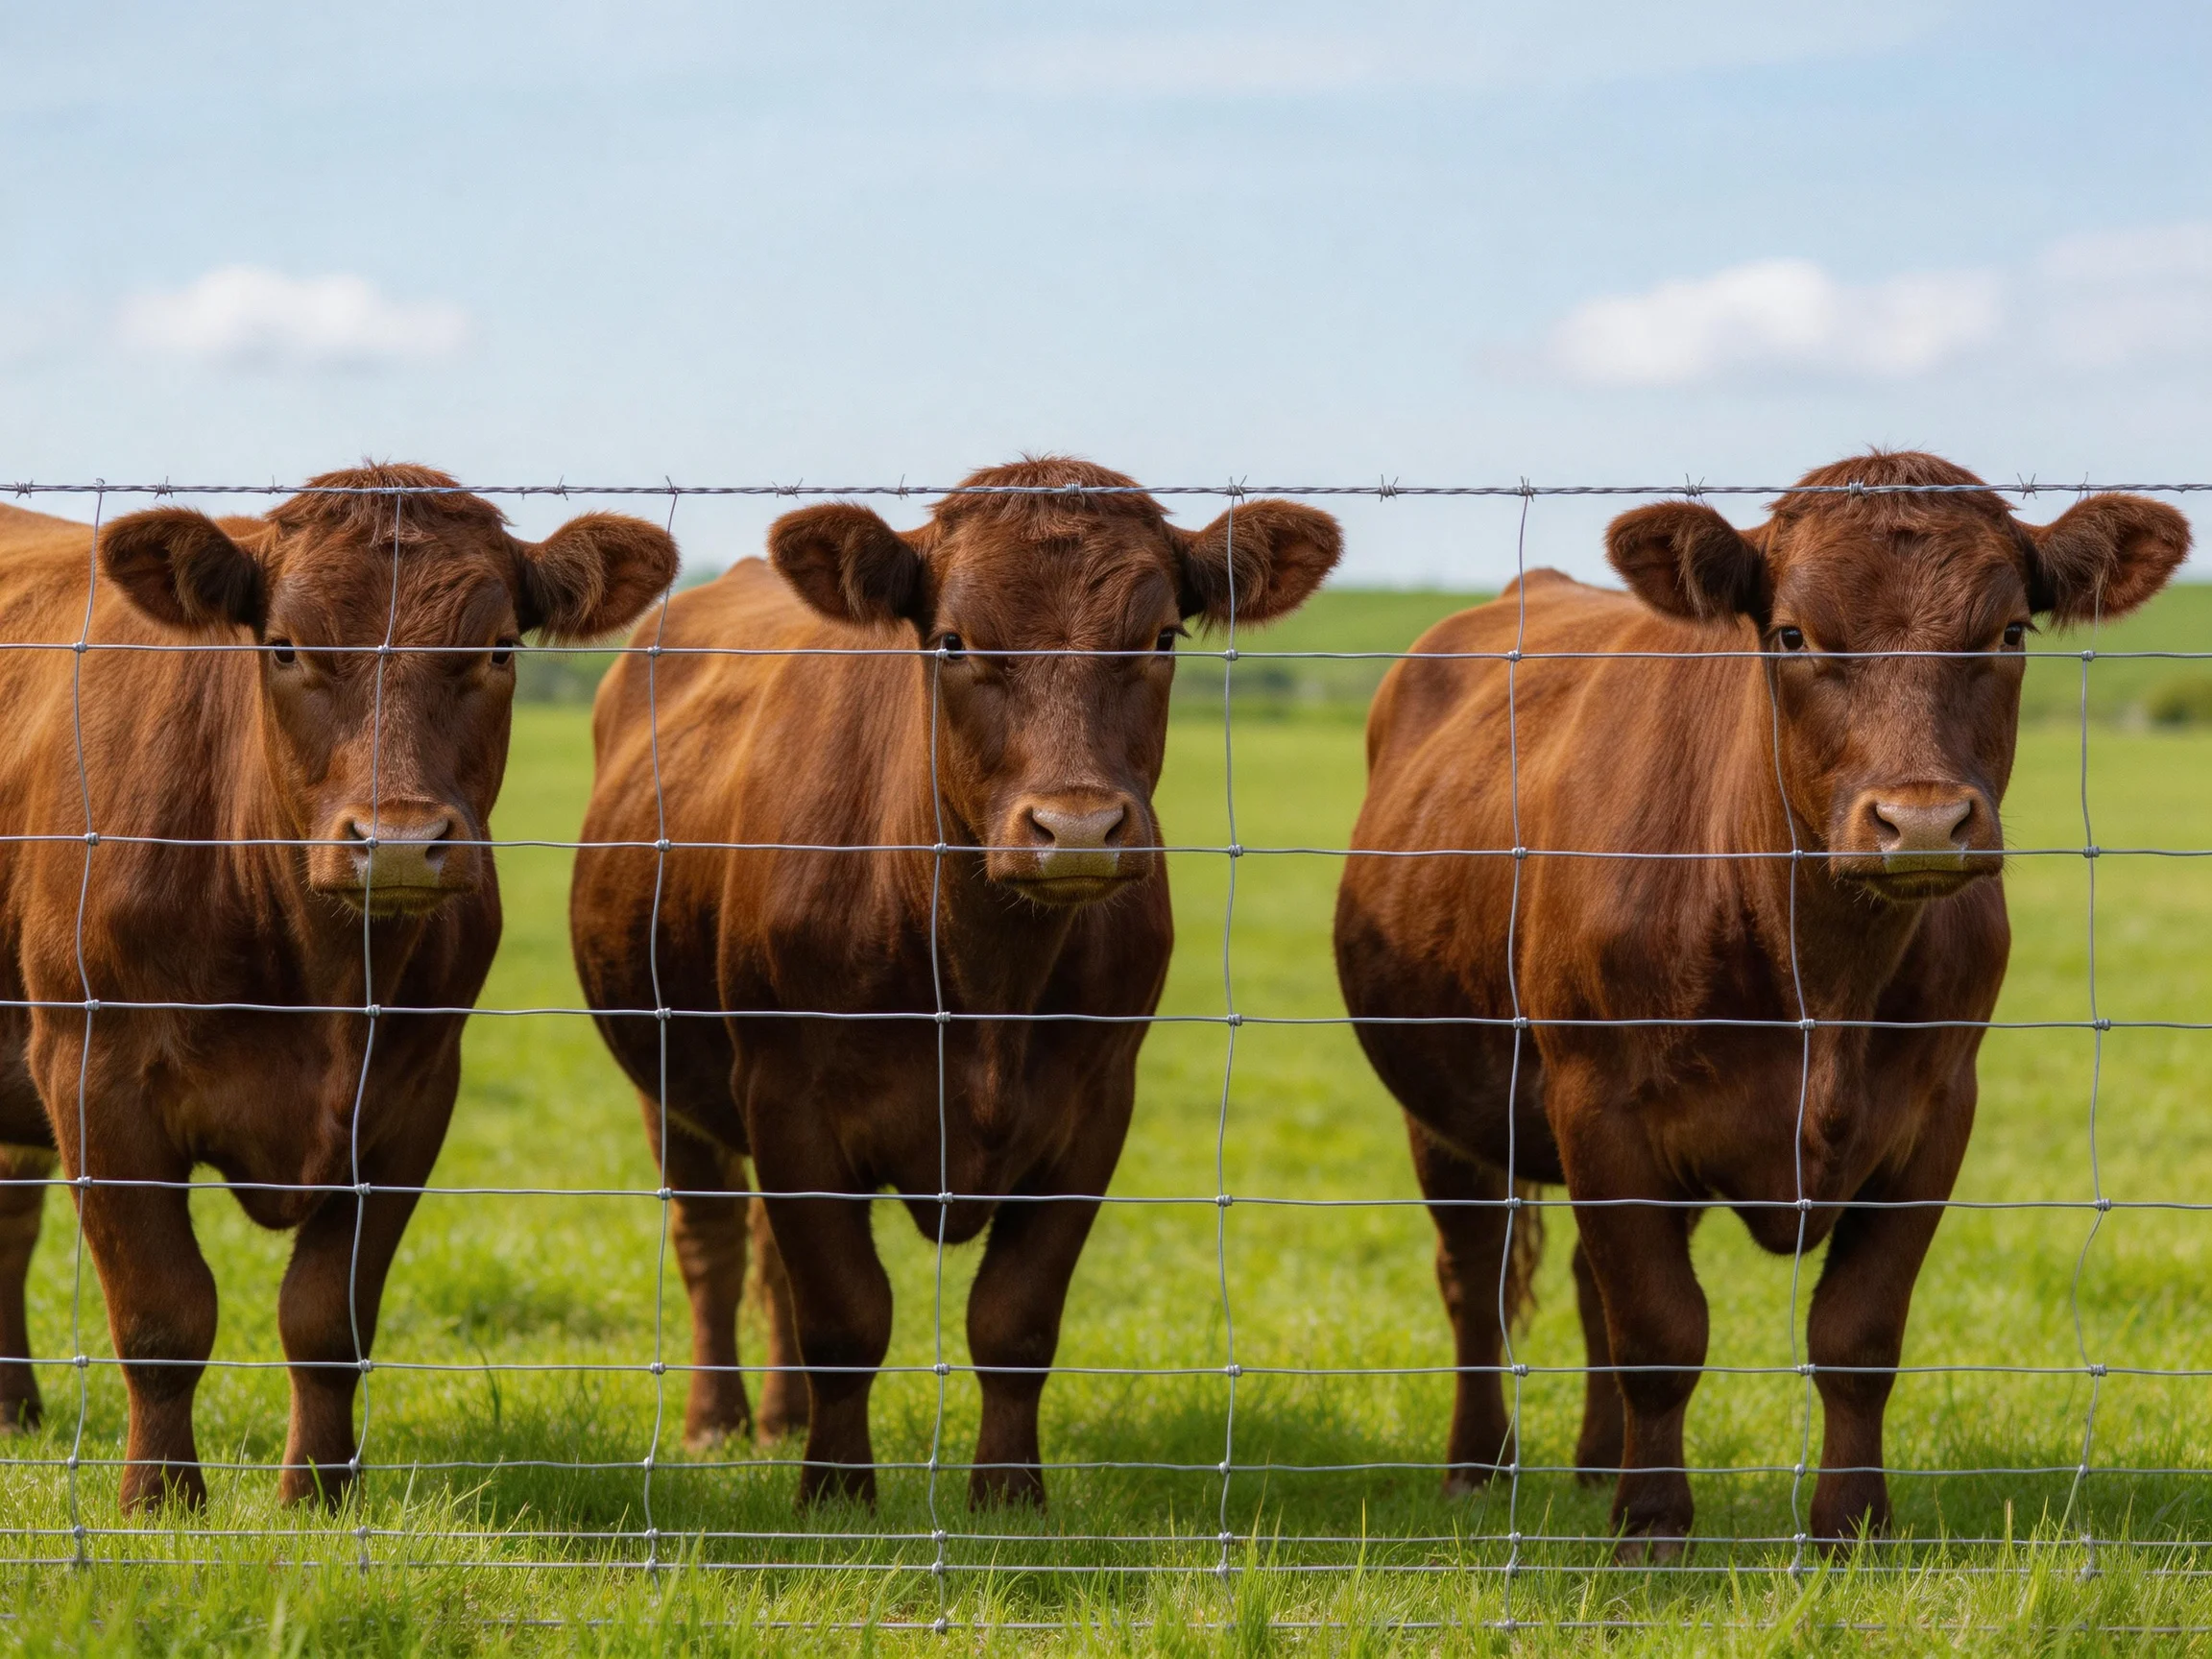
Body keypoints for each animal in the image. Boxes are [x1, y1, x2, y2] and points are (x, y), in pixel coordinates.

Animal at [0, 469, 676, 1511]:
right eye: (284, 645)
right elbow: (163, 1314)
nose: (395, 841)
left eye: (497, 646)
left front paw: (319, 1492)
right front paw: (161, 1502)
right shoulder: (92, 1073)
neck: (318, 984)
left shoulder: (410, 1096)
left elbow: (327, 1317)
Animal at [569, 458, 1339, 1507]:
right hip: (667, 1076)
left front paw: (1009, 1495)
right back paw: (717, 1423)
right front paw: (836, 1496)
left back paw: (781, 1418)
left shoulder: (1095, 1107)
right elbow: (845, 1314)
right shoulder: (789, 1098)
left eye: (1160, 637)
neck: (985, 985)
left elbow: (1014, 1318)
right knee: (712, 1245)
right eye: (952, 641)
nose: (1077, 828)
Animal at [1333, 452, 2187, 1558]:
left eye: (2007, 632)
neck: (1824, 984)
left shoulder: (1935, 1110)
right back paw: (1480, 1471)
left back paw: (1595, 1465)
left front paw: (1852, 1529)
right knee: (1474, 1278)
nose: (1921, 823)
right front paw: (1653, 1531)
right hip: (1446, 1104)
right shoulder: (1599, 1102)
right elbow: (1661, 1329)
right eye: (1790, 634)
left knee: (1584, 1286)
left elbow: (1856, 1334)